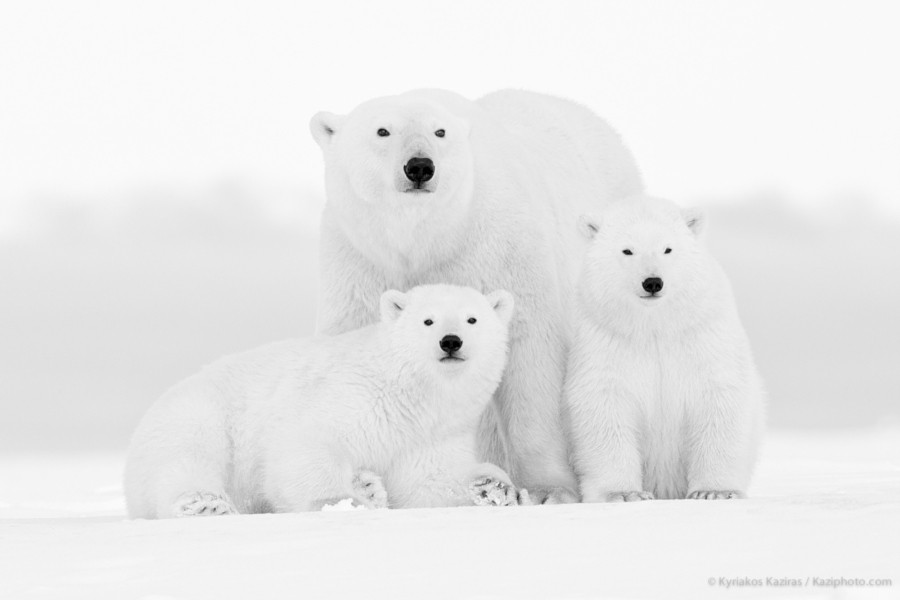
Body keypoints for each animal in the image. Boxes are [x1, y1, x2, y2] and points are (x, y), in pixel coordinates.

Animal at [127, 284, 520, 516]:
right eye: (427, 321)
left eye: (472, 318)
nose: (451, 341)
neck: (411, 396)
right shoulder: (352, 396)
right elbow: (306, 447)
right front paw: (340, 502)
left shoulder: (430, 435)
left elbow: (429, 482)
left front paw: (495, 488)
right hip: (199, 414)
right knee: (186, 455)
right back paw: (206, 504)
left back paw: (368, 485)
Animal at [312, 88, 648, 502]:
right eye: (382, 130)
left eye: (440, 132)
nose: (420, 167)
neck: (425, 241)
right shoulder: (358, 262)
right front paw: (365, 483)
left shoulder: (497, 249)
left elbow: (527, 354)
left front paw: (547, 490)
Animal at [568, 197, 764, 502]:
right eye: (627, 250)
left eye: (668, 248)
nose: (652, 282)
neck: (656, 328)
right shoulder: (604, 339)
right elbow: (604, 405)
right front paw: (624, 493)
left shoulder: (703, 335)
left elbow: (719, 396)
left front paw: (714, 491)